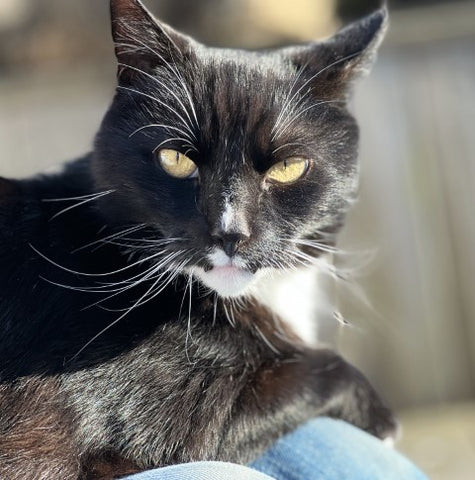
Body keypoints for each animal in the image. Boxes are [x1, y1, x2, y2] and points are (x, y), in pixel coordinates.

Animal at [0, 0, 398, 480]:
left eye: (288, 167)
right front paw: (381, 418)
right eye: (175, 159)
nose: (230, 233)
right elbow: (312, 371)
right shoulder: (166, 431)